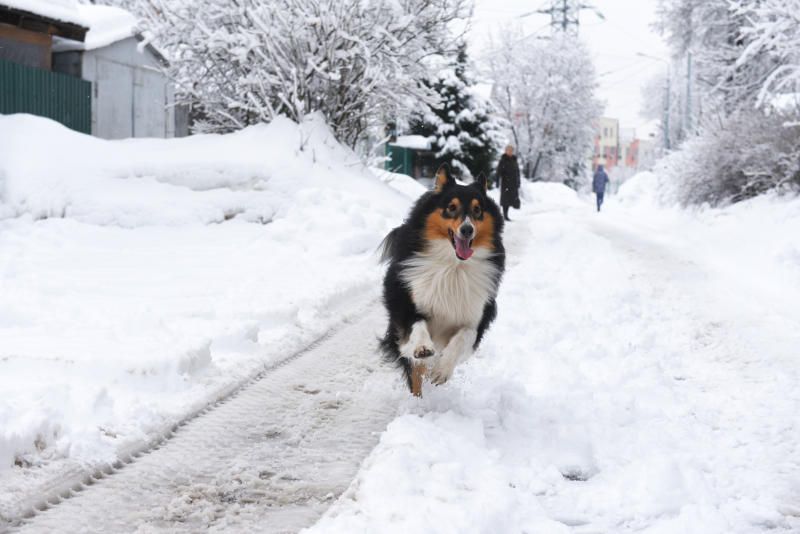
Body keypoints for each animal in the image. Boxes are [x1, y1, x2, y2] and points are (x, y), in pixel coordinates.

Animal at [382, 165, 506, 396]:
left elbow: (463, 338)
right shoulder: (407, 303)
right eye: (451, 207)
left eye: (478, 210)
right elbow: (417, 326)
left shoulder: (476, 318)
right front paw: (423, 348)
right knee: (415, 374)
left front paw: (442, 371)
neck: (453, 266)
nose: (467, 230)